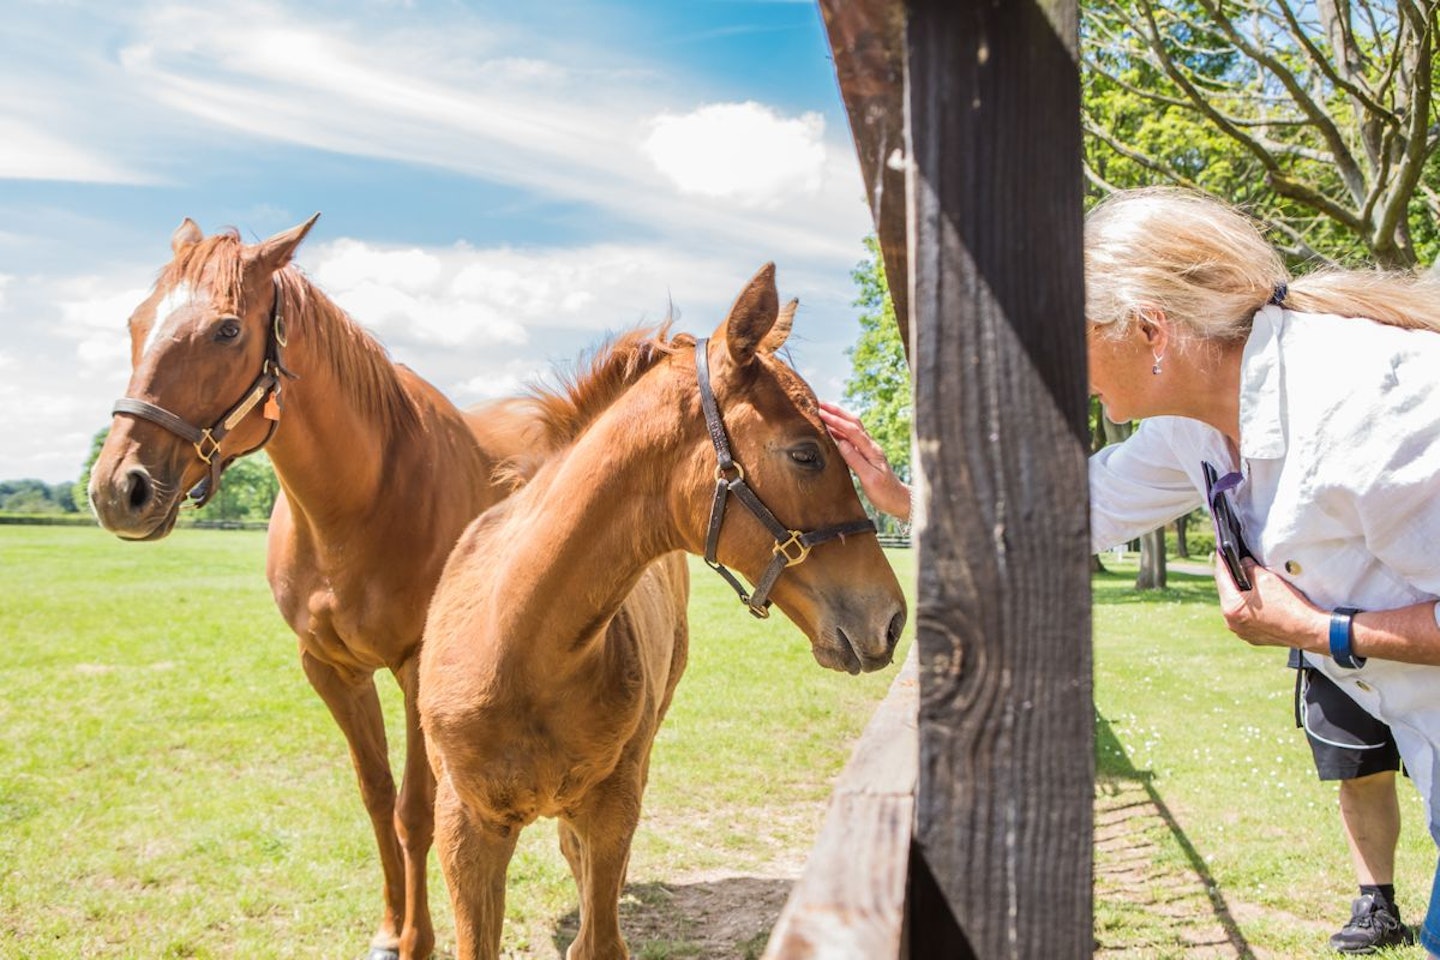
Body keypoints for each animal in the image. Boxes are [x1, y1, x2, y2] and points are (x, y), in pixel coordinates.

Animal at [88, 217, 524, 960]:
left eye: (227, 330)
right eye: (136, 321)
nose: (120, 489)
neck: (359, 503)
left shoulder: (415, 669)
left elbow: (415, 811)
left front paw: (418, 939)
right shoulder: (329, 668)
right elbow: (376, 796)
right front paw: (389, 930)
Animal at [420, 264, 904, 960]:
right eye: (806, 454)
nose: (890, 619)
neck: (520, 649)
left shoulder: (611, 808)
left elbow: (598, 936)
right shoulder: (464, 827)